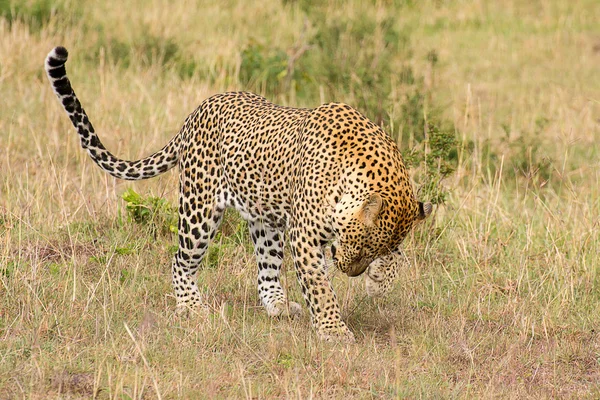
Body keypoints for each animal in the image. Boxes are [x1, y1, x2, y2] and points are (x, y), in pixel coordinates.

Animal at [45, 46, 432, 340]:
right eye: (363, 246)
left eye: (374, 250)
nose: (351, 272)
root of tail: (197, 111)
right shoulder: (304, 235)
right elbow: (319, 287)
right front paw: (333, 330)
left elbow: (391, 261)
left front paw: (378, 283)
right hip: (199, 208)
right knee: (181, 259)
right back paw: (190, 307)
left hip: (265, 221)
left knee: (267, 268)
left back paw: (278, 306)